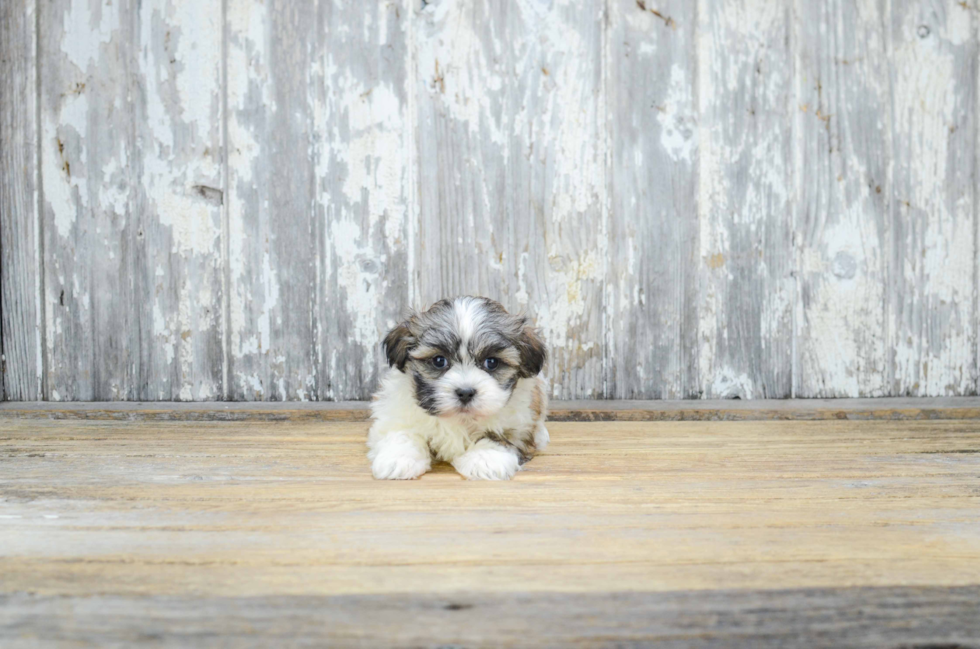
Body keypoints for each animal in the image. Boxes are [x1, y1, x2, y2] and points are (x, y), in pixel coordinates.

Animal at [370, 296, 552, 478]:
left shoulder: (521, 424)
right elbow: (402, 432)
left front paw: (484, 459)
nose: (465, 393)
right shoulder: (396, 413)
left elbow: (497, 437)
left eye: (492, 362)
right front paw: (399, 458)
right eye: (439, 360)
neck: (460, 419)